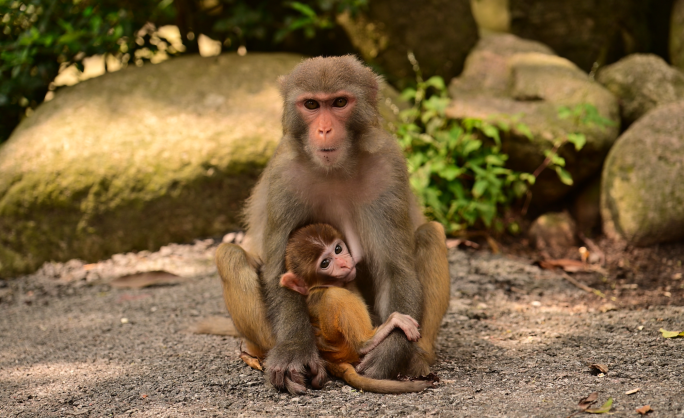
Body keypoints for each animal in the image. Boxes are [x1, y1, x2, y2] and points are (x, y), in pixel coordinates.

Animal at [278, 224, 432, 394]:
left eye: (338, 249)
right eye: (325, 263)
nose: (343, 263)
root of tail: (330, 358)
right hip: (342, 346)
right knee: (335, 296)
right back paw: (368, 342)